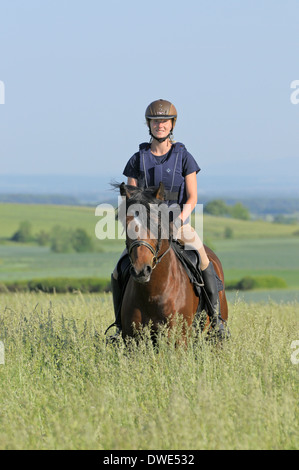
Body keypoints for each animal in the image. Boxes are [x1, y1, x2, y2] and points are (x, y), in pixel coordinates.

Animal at [116, 183, 229, 342]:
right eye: (127, 226)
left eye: (156, 225)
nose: (141, 271)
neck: (152, 292)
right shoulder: (133, 340)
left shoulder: (178, 339)